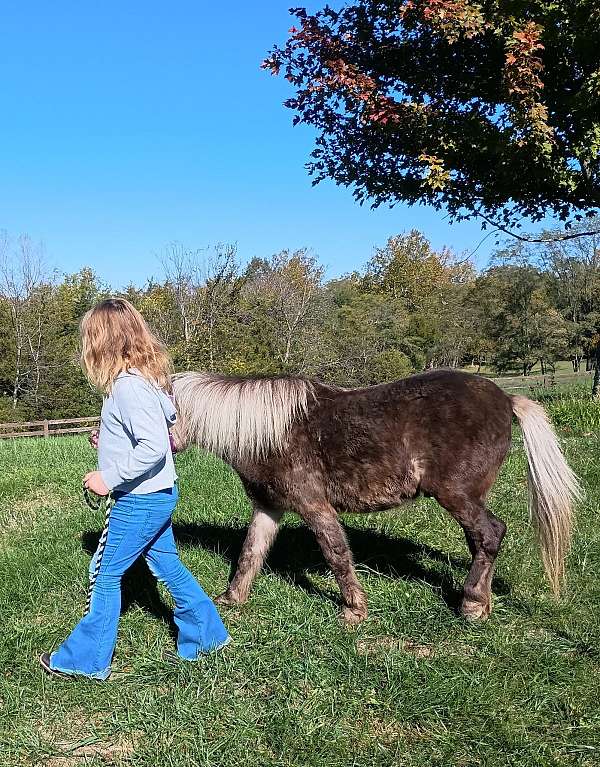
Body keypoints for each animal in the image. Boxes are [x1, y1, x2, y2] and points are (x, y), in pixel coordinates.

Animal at [172, 368, 580, 628]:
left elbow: (337, 554)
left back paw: (472, 605)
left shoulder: (314, 507)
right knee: (481, 541)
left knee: (491, 533)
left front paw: (354, 611)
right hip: (470, 498)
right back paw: (483, 600)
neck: (267, 433)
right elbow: (250, 553)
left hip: (455, 495)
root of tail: (505, 399)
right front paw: (231, 600)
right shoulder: (268, 508)